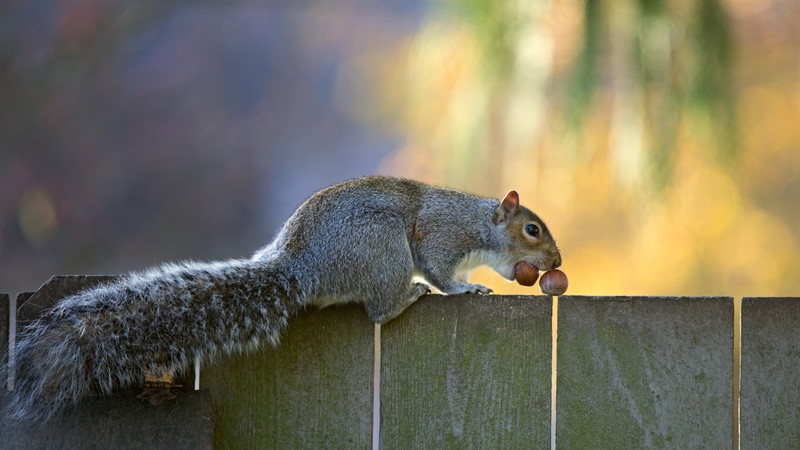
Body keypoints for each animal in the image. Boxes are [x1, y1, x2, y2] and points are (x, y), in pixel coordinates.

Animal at [4, 176, 561, 422]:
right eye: (532, 229)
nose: (556, 261)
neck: (477, 222)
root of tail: (300, 267)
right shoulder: (440, 238)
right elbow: (443, 270)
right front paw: (465, 287)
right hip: (381, 249)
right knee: (380, 310)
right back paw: (408, 298)